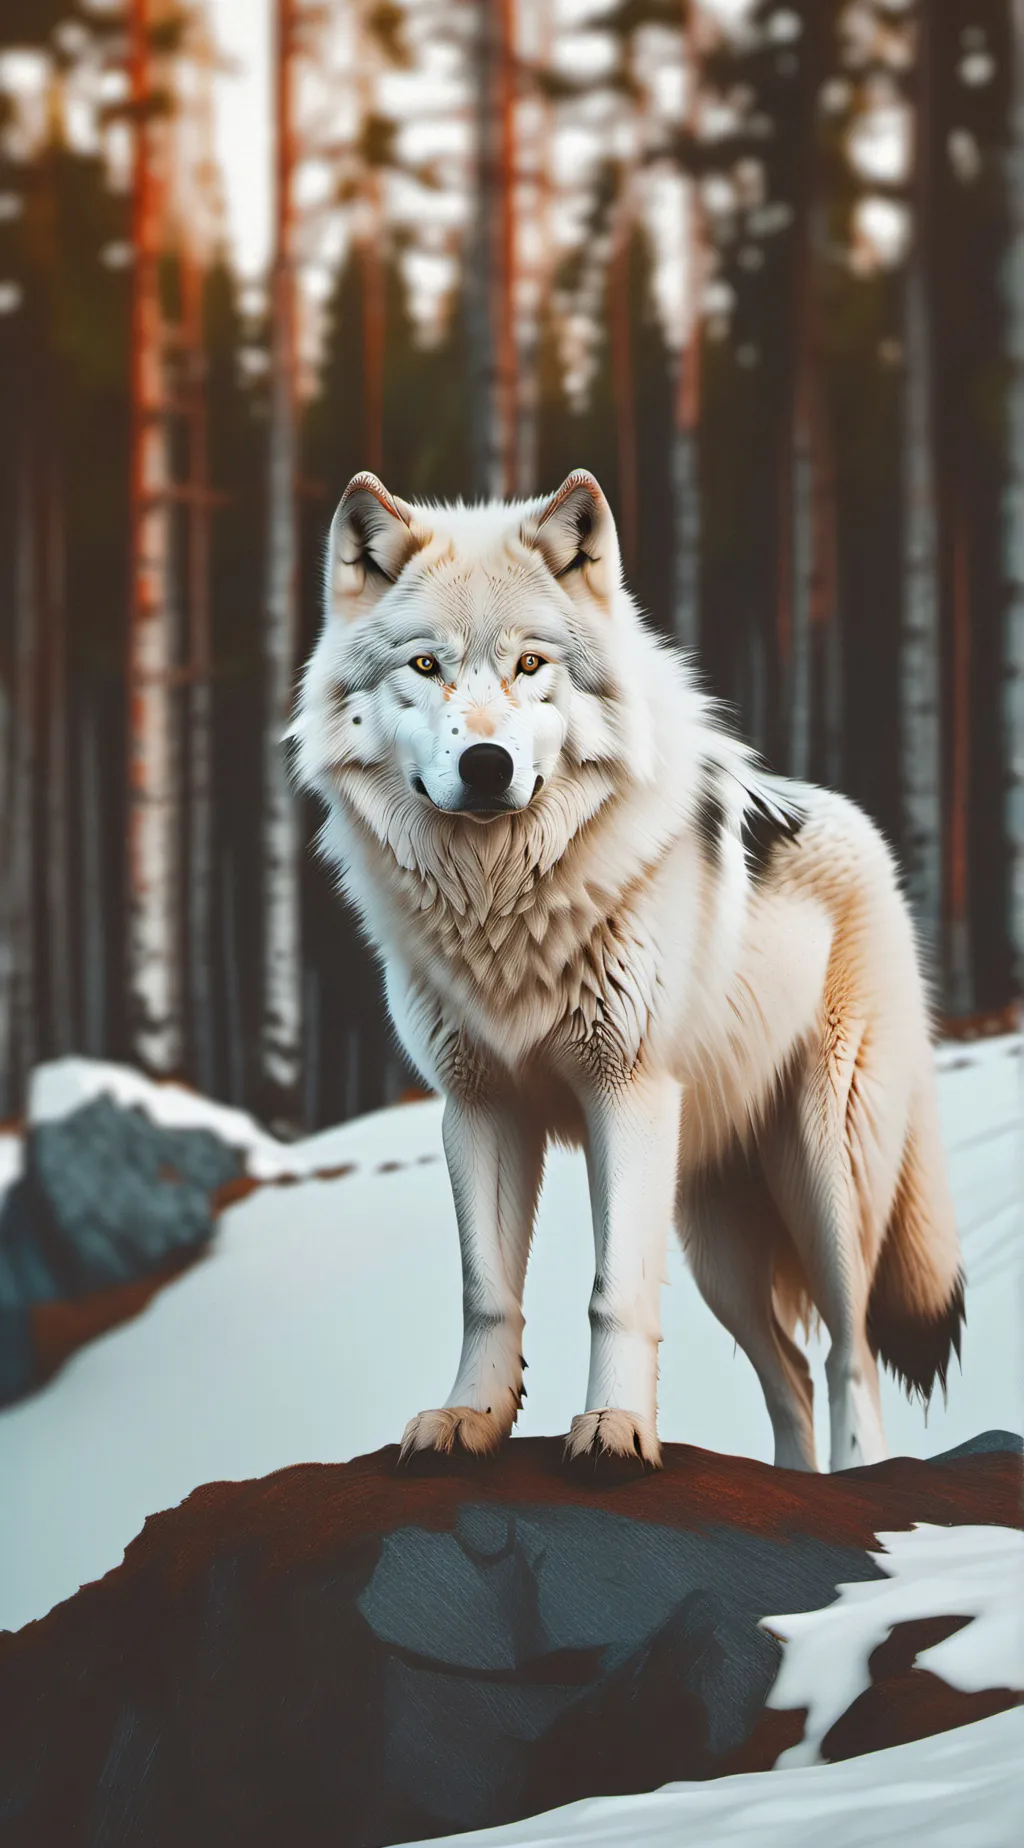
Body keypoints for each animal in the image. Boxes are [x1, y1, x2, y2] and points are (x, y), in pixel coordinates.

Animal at [293, 467, 964, 1473]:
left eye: (532, 665)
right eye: (425, 667)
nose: (485, 764)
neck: (502, 909)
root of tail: (862, 828)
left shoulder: (627, 1094)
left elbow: (616, 1295)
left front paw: (615, 1429)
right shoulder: (478, 1106)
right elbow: (486, 1293)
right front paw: (471, 1418)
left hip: (825, 1175)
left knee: (850, 1356)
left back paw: (858, 1478)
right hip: (715, 1235)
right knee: (792, 1376)